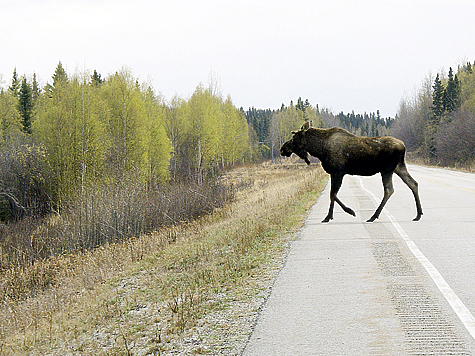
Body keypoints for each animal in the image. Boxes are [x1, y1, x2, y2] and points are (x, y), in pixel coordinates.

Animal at [280, 125, 422, 222]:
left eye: (294, 137)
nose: (283, 148)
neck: (320, 149)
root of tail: (403, 146)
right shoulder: (333, 173)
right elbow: (332, 194)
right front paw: (328, 217)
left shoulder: (338, 172)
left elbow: (333, 194)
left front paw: (350, 211)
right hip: (398, 167)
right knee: (413, 183)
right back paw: (418, 214)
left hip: (387, 169)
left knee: (389, 189)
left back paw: (373, 216)